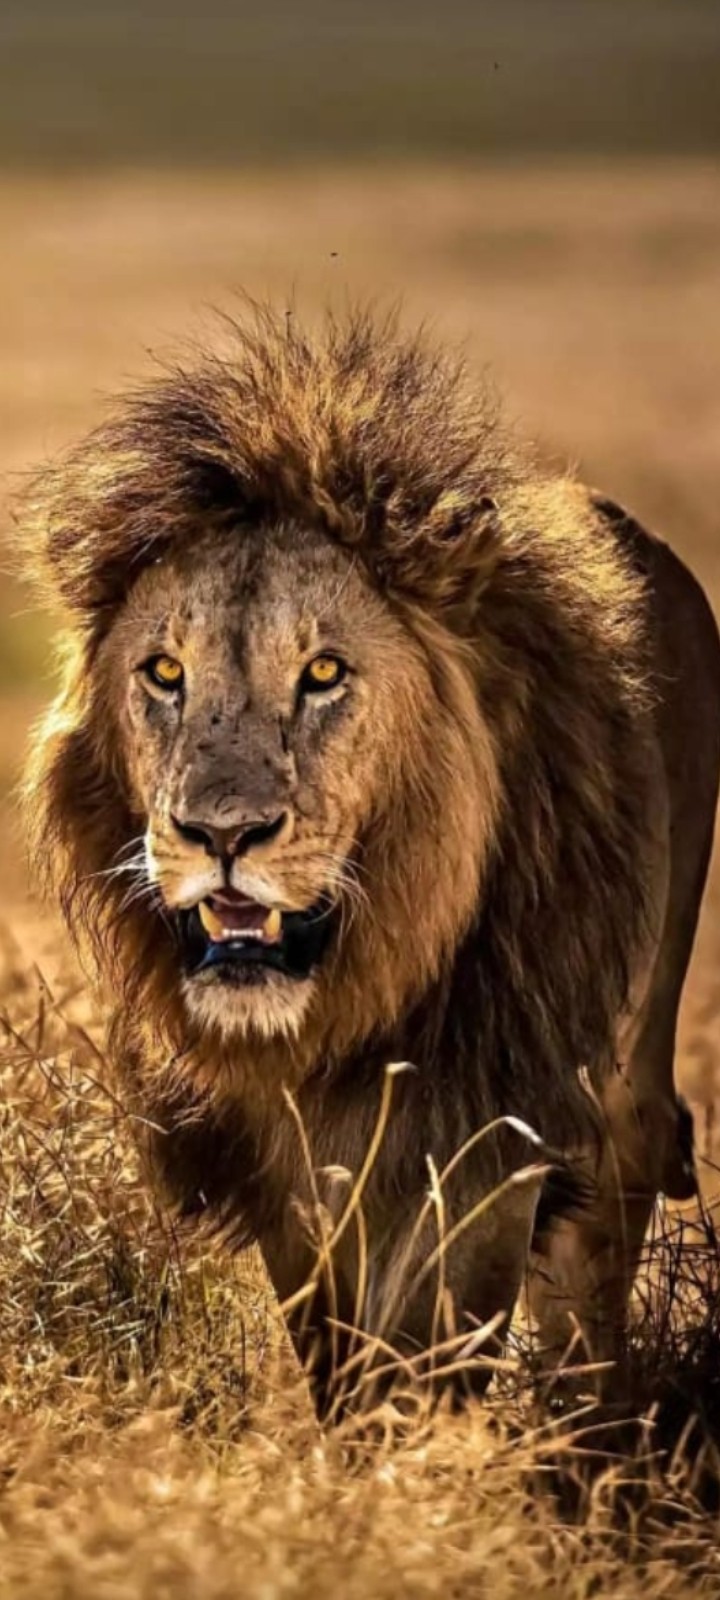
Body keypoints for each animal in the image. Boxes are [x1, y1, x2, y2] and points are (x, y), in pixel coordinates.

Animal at [21, 307, 720, 1417]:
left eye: (323, 673)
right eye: (165, 672)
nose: (223, 834)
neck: (345, 1003)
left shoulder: (484, 1125)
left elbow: (421, 1349)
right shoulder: (278, 1164)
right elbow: (337, 1349)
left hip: (631, 1041)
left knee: (608, 1212)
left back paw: (588, 1422)